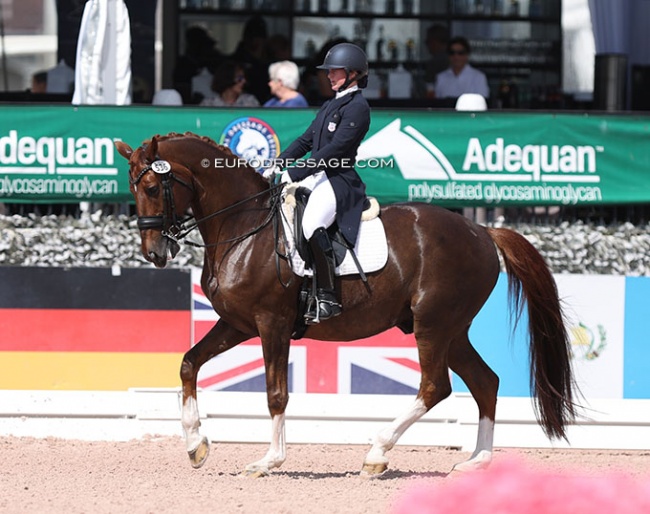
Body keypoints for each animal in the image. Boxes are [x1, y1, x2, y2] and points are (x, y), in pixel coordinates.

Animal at [114, 132, 576, 476]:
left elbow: (276, 393)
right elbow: (189, 363)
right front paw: (196, 444)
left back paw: (377, 453)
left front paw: (269, 460)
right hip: (452, 330)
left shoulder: (271, 323)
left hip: (434, 325)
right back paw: (477, 461)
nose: (154, 252)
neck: (243, 226)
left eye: (153, 187)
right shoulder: (238, 323)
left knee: (435, 386)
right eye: (133, 188)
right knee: (485, 382)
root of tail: (482, 231)